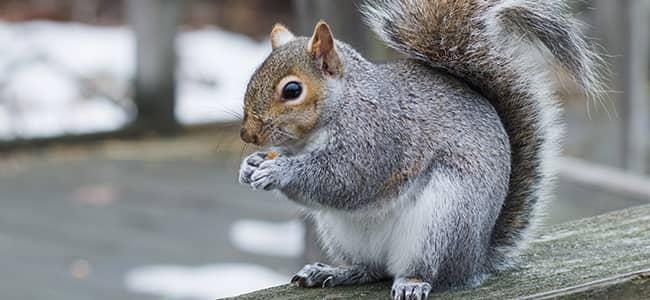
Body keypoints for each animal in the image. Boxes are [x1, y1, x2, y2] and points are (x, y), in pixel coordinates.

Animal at [235, 1, 600, 298]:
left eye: (292, 90)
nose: (247, 134)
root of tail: (476, 258)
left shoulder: (377, 139)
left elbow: (345, 180)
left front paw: (278, 170)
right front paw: (250, 165)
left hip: (442, 222)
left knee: (426, 271)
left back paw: (413, 282)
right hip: (342, 234)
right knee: (371, 269)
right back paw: (335, 271)